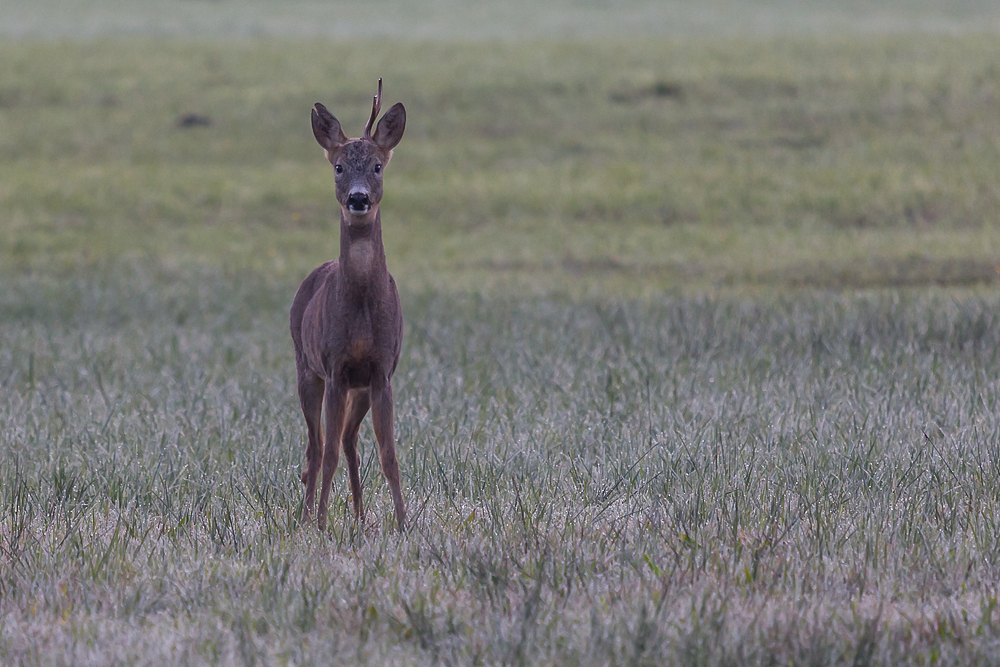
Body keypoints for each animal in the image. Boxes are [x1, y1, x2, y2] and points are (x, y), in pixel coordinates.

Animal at [292, 79, 408, 532]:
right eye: (339, 167)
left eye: (377, 166)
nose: (358, 199)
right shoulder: (335, 365)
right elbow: (324, 457)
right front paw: (322, 522)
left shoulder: (380, 370)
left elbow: (389, 455)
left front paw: (403, 523)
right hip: (306, 369)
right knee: (316, 445)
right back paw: (307, 515)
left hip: (358, 388)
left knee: (347, 441)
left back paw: (358, 515)